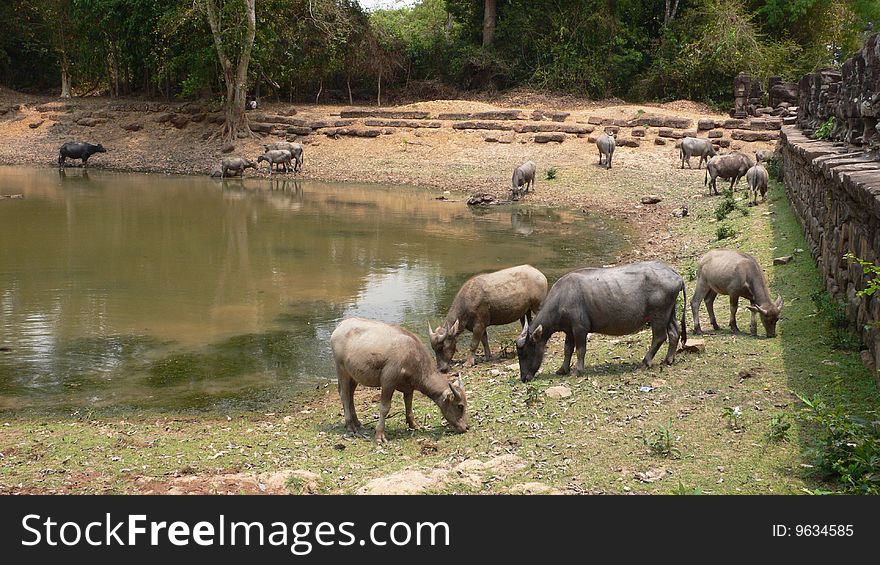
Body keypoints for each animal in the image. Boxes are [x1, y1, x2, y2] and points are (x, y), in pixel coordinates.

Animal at [330, 318, 468, 440]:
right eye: (460, 406)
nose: (466, 427)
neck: (411, 356)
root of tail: (340, 326)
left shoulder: (409, 387)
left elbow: (409, 404)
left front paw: (414, 425)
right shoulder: (388, 382)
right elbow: (384, 407)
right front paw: (380, 435)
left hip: (353, 375)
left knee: (350, 395)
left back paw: (357, 422)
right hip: (341, 370)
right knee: (344, 395)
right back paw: (350, 426)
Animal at [516, 262, 688, 382]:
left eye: (525, 352)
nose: (524, 378)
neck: (562, 297)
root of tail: (676, 275)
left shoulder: (580, 328)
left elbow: (580, 350)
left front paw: (577, 371)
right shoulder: (569, 330)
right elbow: (567, 349)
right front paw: (562, 369)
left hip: (658, 314)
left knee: (659, 337)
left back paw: (644, 363)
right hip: (669, 312)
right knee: (674, 332)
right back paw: (668, 359)